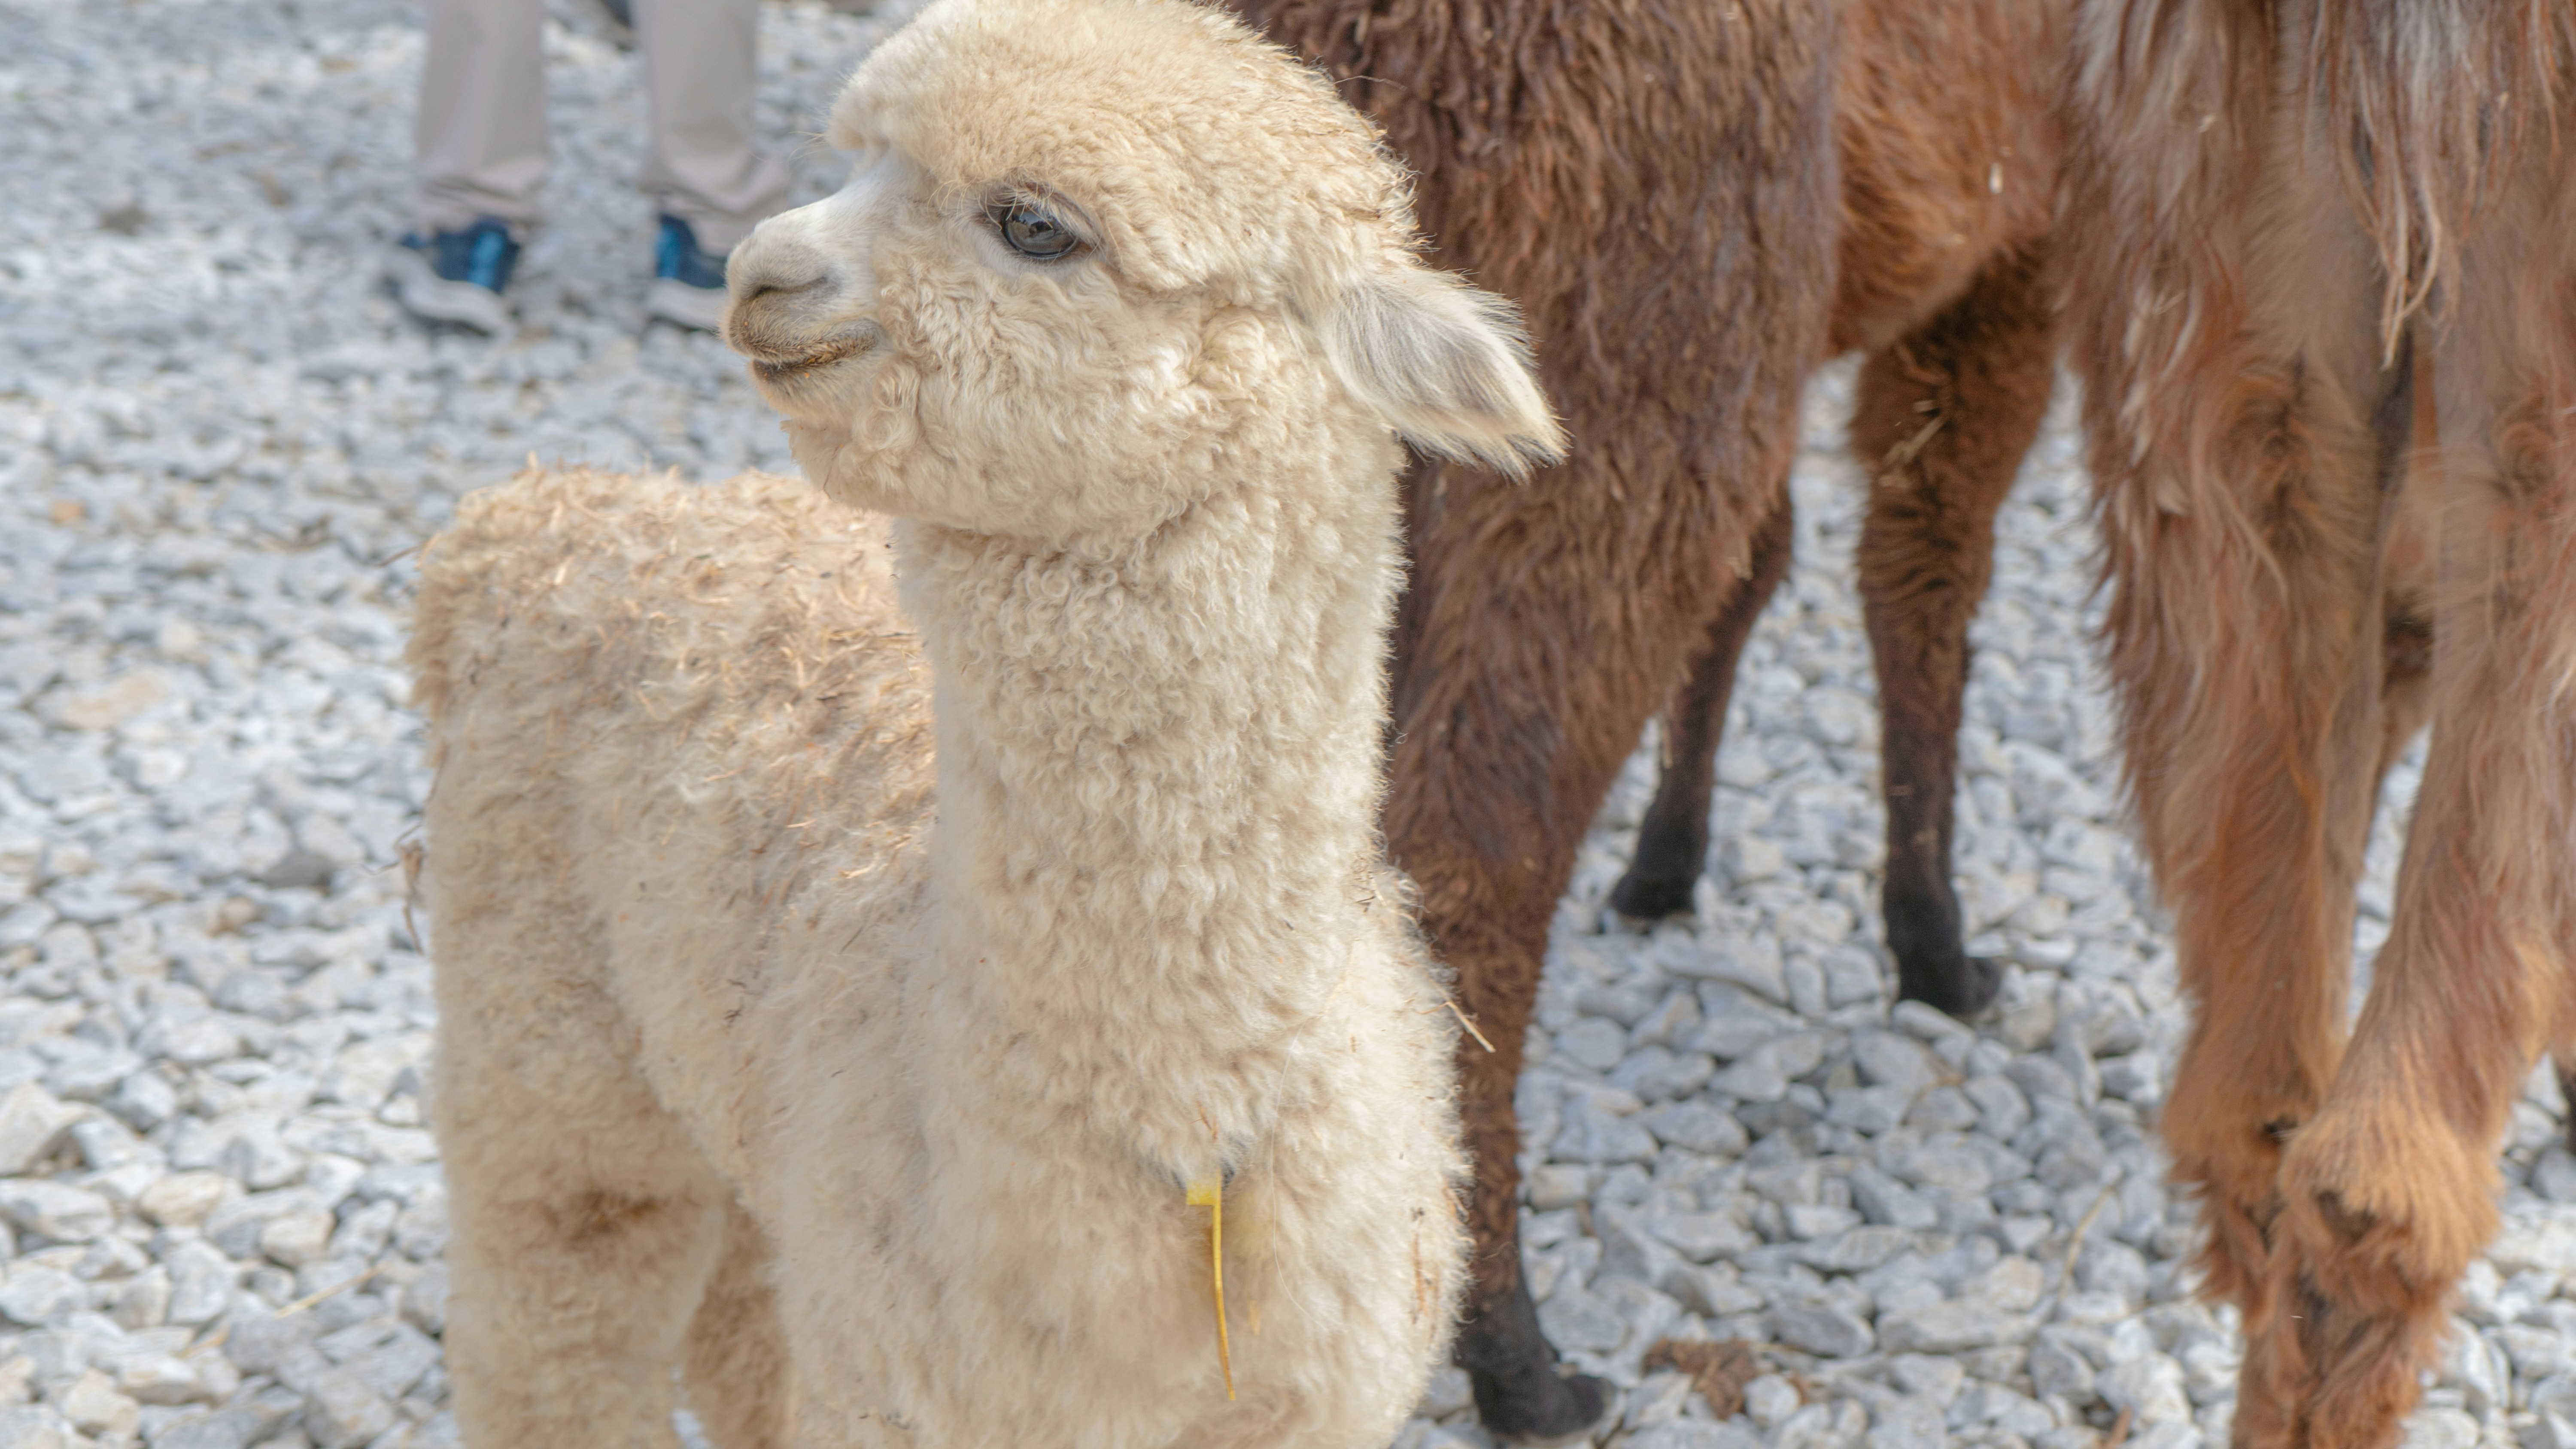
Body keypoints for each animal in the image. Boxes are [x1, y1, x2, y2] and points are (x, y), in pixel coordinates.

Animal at [404, 0, 1566, 1441]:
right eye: (857, 158)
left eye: (1033, 224)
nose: (758, 272)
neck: (1187, 1175)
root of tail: (535, 516)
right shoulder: (912, 1385)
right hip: (547, 1040)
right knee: (558, 1312)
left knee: (734, 1319)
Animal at [1233, 0, 2066, 1428]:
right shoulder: (2028, 239)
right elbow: (1923, 567)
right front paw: (1939, 949)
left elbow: (1762, 572)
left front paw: (1669, 862)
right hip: (1620, 361)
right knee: (1474, 859)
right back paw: (1517, 1359)